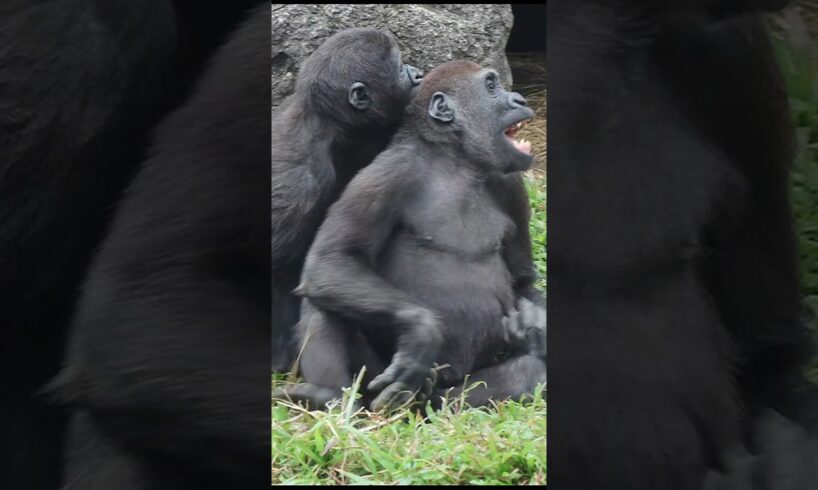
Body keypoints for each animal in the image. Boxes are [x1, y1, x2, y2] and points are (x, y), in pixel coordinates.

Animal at [278, 59, 544, 412]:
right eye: (490, 86)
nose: (519, 99)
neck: (457, 161)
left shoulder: (511, 184)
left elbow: (521, 279)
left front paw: (533, 321)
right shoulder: (388, 172)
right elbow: (332, 259)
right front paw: (422, 330)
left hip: (454, 388)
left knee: (525, 373)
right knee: (324, 298)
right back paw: (329, 395)